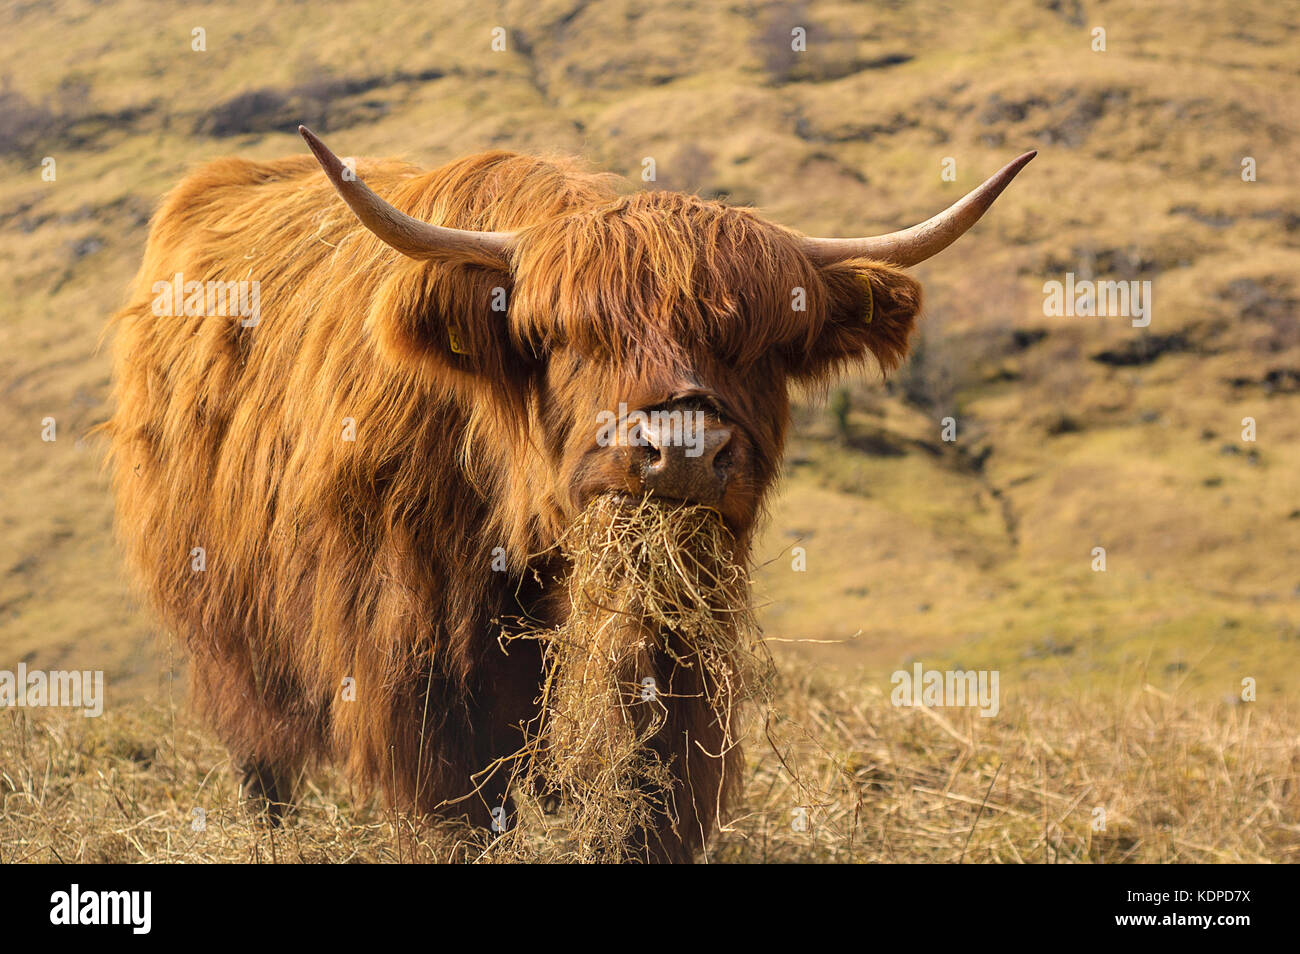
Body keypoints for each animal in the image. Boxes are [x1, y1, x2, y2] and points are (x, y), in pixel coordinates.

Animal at [105, 124, 1032, 862]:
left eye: (760, 343)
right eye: (576, 337)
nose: (682, 448)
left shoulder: (669, 667)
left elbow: (646, 793)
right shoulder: (414, 665)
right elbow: (462, 808)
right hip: (223, 622)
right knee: (260, 756)